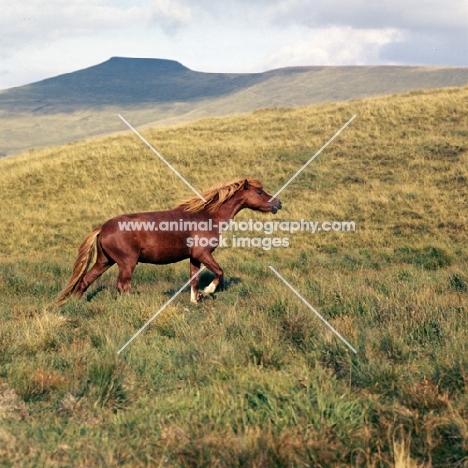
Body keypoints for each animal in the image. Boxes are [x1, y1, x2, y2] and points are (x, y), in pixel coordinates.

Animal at [54, 177, 282, 306]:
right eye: (259, 191)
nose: (278, 203)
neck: (206, 216)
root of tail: (103, 227)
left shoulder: (194, 257)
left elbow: (193, 280)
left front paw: (195, 301)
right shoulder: (203, 254)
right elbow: (219, 273)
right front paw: (207, 293)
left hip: (104, 262)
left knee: (85, 280)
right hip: (127, 263)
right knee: (122, 286)